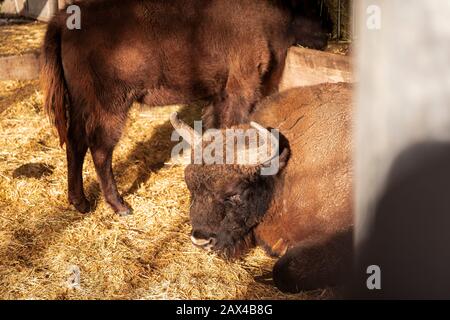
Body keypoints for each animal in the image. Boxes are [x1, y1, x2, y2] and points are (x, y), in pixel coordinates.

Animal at [41, 0, 330, 216]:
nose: (325, 33)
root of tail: (64, 19)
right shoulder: (243, 85)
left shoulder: (218, 93)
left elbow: (214, 129)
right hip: (110, 106)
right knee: (100, 149)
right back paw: (120, 206)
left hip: (81, 103)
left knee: (75, 143)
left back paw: (80, 203)